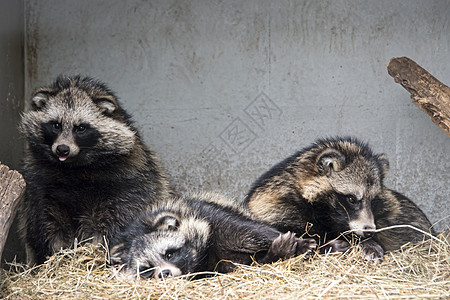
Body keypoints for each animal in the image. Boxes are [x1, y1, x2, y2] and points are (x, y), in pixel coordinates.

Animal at [18, 75, 172, 264]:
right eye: (56, 125)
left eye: (81, 128)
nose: (62, 149)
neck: (73, 167)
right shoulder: (39, 181)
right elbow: (45, 220)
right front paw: (57, 252)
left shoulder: (127, 181)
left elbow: (120, 219)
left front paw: (99, 251)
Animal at [111, 192, 318, 278]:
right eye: (146, 270)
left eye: (169, 253)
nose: (164, 274)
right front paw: (275, 254)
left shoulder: (211, 216)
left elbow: (252, 231)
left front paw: (301, 244)